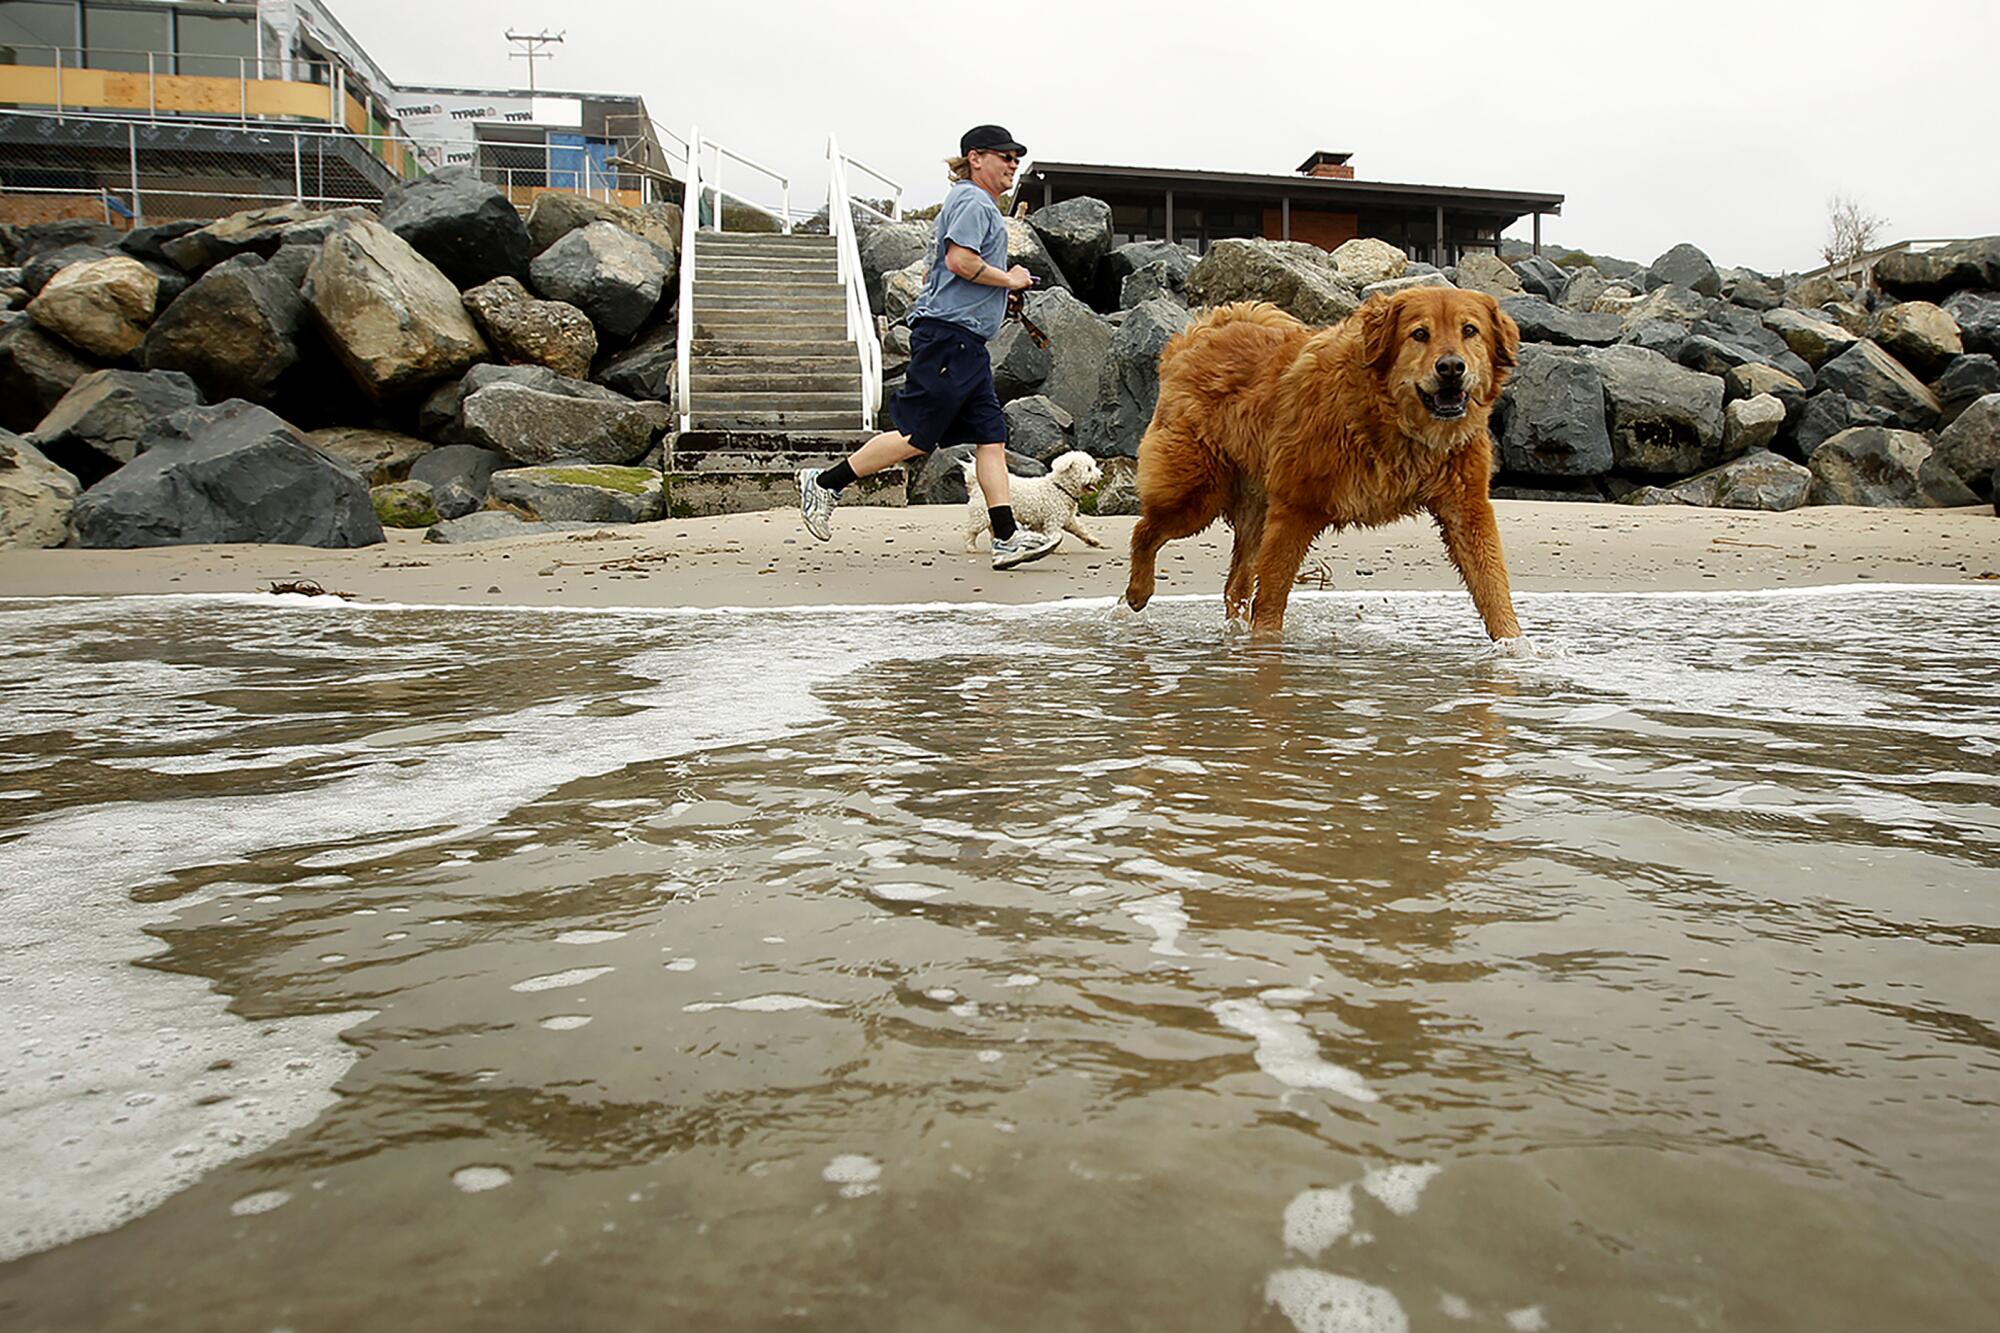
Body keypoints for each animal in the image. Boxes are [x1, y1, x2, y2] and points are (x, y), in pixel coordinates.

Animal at [956, 448, 1104, 548]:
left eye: (1093, 466)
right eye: (1089, 469)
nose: (1102, 475)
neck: (1060, 488)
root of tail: (976, 484)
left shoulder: (1069, 519)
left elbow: (1080, 529)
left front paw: (1092, 540)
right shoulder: (1053, 519)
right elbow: (1054, 532)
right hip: (981, 515)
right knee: (970, 531)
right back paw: (971, 547)